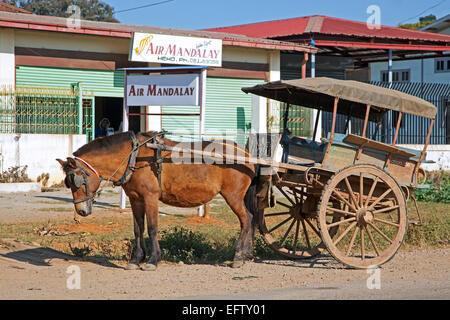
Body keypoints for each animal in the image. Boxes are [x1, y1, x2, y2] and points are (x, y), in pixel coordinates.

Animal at [57, 130, 256, 270]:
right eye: (68, 183)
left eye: (77, 181)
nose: (81, 211)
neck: (134, 156)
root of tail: (245, 153)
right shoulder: (135, 199)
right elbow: (138, 229)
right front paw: (136, 259)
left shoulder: (150, 197)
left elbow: (152, 228)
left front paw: (153, 260)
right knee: (250, 219)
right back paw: (247, 254)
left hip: (233, 196)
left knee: (246, 220)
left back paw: (239, 256)